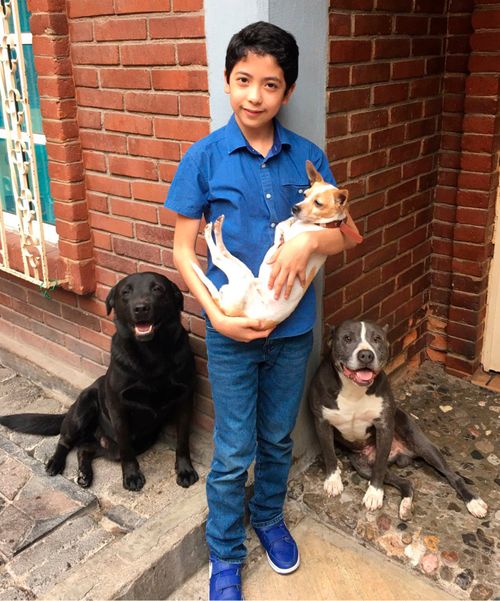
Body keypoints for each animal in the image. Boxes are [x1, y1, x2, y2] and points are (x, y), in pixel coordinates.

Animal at [0, 274, 199, 490]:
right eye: (125, 292)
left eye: (158, 289)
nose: (141, 308)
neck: (151, 353)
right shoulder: (118, 406)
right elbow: (126, 448)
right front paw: (131, 476)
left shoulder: (185, 400)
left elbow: (182, 441)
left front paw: (185, 470)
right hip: (82, 410)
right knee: (65, 441)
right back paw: (55, 463)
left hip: (135, 441)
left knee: (85, 449)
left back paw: (84, 475)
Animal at [308, 318, 488, 520]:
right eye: (347, 338)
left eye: (377, 339)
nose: (366, 355)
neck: (354, 389)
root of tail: (401, 454)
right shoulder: (322, 423)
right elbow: (329, 454)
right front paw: (333, 480)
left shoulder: (384, 427)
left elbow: (379, 466)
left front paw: (374, 494)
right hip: (362, 465)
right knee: (406, 483)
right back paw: (406, 506)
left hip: (423, 445)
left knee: (453, 475)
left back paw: (474, 502)